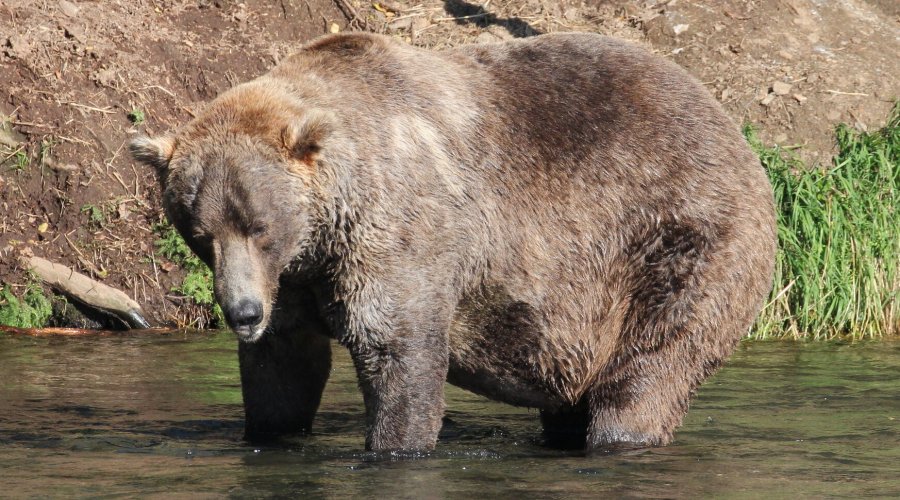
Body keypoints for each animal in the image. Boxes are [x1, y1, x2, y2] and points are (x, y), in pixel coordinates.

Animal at [130, 32, 777, 452]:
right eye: (200, 233)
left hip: (677, 240)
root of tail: (733, 129)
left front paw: (395, 444)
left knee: (650, 366)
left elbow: (399, 349)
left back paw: (621, 434)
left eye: (259, 226)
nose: (242, 312)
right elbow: (284, 367)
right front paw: (271, 430)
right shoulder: (295, 280)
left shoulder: (400, 233)